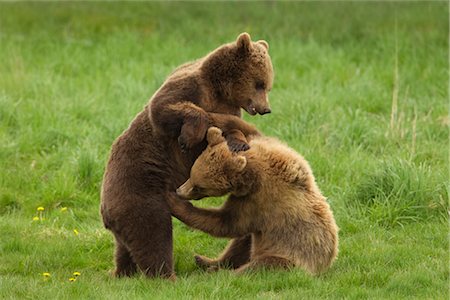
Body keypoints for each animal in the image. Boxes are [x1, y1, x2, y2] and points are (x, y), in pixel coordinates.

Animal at [100, 32, 272, 278]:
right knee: (153, 230)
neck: (220, 90)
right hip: (137, 188)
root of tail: (105, 212)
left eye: (268, 86)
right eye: (259, 84)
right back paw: (166, 276)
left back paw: (124, 271)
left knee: (127, 246)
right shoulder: (190, 87)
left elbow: (228, 130)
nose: (266, 109)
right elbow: (164, 107)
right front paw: (187, 137)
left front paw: (239, 144)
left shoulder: (228, 108)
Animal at [167, 126, 340, 274]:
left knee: (262, 265)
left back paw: (223, 272)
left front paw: (174, 202)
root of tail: (327, 263)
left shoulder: (260, 200)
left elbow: (227, 223)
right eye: (191, 174)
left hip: (291, 256)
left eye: (199, 187)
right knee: (242, 243)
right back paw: (206, 261)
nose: (180, 191)